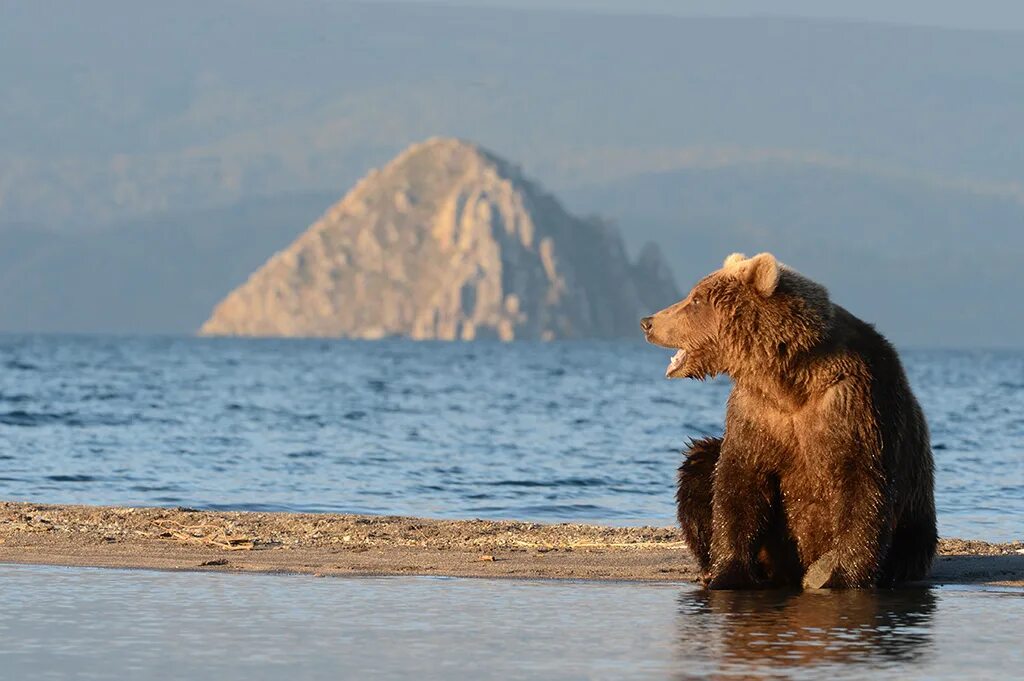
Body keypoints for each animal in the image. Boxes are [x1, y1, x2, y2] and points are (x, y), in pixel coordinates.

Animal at [638, 251, 937, 585]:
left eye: (696, 300)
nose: (648, 322)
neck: (788, 380)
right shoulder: (758, 412)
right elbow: (737, 483)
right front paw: (729, 572)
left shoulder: (855, 402)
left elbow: (862, 486)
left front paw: (842, 576)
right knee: (699, 464)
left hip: (916, 528)